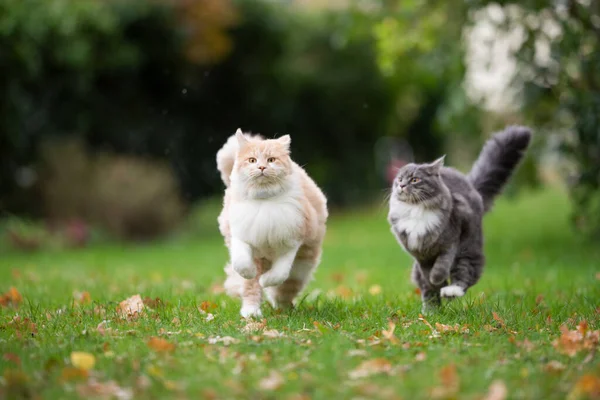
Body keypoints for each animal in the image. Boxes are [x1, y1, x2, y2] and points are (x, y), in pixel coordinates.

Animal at [217, 130, 328, 318]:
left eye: (271, 160)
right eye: (252, 160)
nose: (262, 167)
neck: (264, 201)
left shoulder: (291, 245)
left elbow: (278, 274)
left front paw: (265, 281)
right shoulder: (241, 237)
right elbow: (242, 265)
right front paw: (251, 273)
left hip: (301, 266)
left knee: (285, 289)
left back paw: (282, 308)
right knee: (251, 290)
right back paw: (251, 313)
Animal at [392, 126, 532, 310]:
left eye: (415, 179)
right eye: (399, 179)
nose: (401, 185)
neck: (415, 209)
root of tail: (472, 186)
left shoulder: (450, 239)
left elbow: (442, 265)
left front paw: (438, 279)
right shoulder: (419, 254)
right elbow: (427, 274)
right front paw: (435, 283)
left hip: (468, 249)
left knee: (466, 274)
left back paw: (450, 291)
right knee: (428, 291)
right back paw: (431, 310)